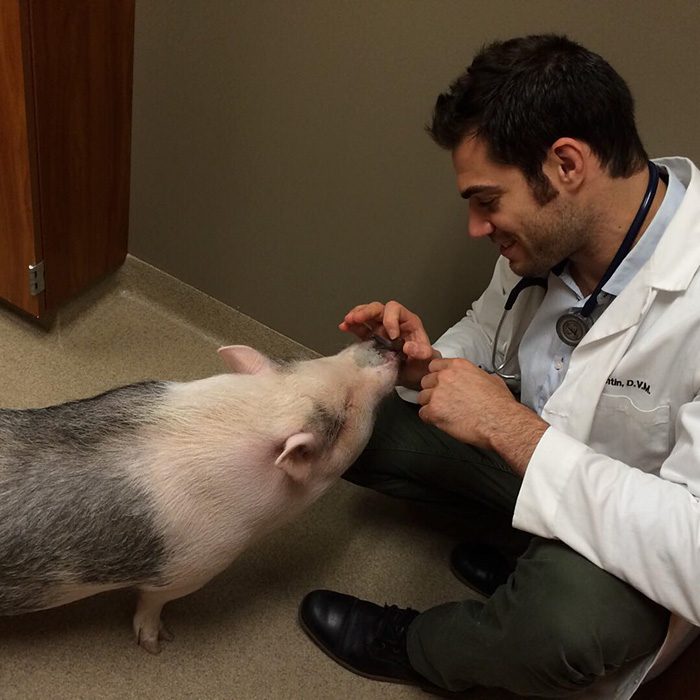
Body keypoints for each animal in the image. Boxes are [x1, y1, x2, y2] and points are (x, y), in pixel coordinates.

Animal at [0, 342, 396, 652]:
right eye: (343, 416)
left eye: (302, 359)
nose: (385, 343)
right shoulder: (194, 566)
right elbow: (151, 601)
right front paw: (158, 644)